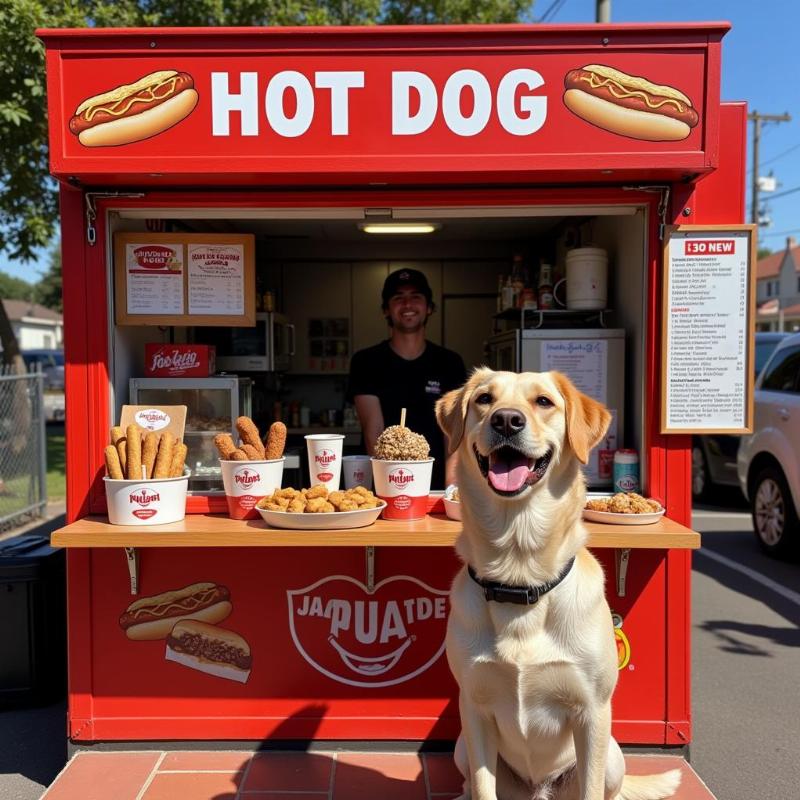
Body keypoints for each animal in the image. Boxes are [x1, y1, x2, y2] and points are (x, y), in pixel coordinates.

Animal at [438, 370, 680, 800]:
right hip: (462, 748)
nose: (506, 420)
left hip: (613, 754)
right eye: (484, 399)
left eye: (543, 402)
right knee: (470, 782)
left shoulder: (592, 711)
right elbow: (483, 788)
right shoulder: (475, 709)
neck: (519, 577)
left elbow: (591, 789)